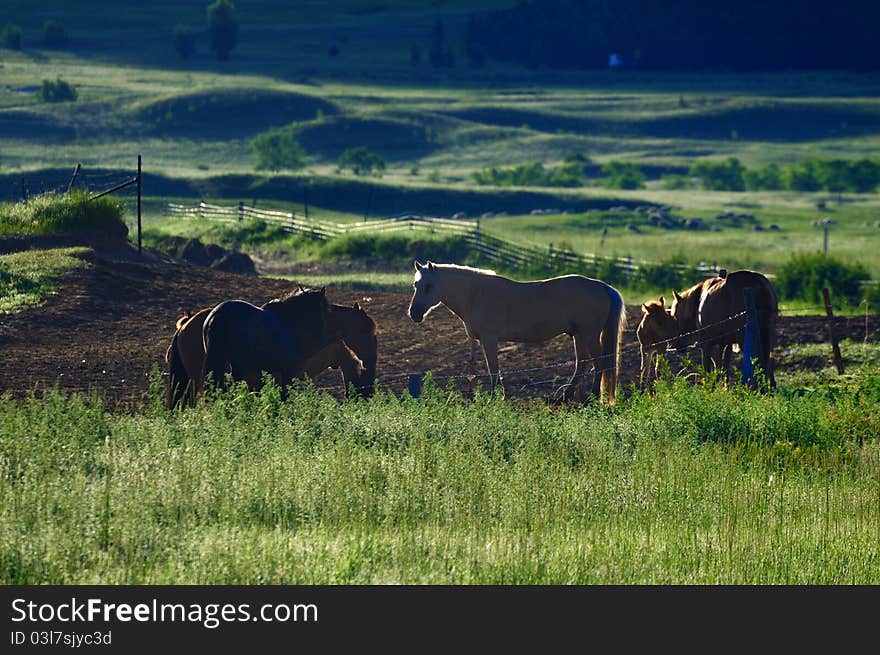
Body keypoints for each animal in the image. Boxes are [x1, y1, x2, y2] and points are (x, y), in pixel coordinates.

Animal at [406, 262, 624, 404]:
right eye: (416, 285)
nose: (414, 313)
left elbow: (493, 369)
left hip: (589, 335)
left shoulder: (489, 339)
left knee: (599, 363)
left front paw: (495, 398)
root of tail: (604, 287)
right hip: (578, 335)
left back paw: (592, 398)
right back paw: (563, 398)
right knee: (582, 364)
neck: (475, 294)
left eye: (429, 286)